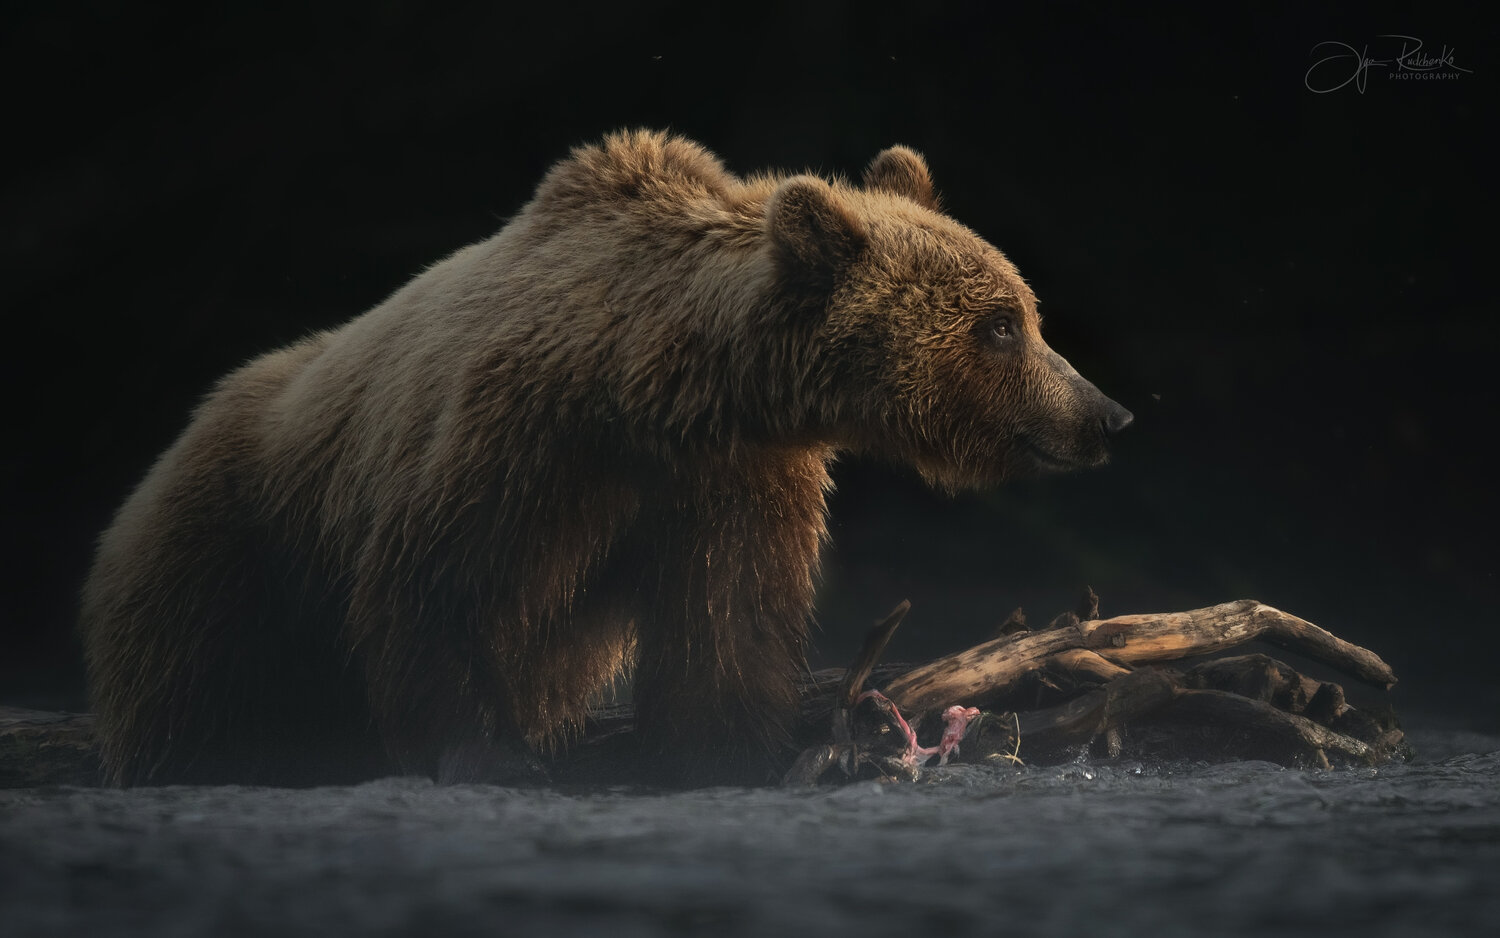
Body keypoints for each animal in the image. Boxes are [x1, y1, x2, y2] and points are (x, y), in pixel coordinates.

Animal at [81, 130, 1132, 787]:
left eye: (1025, 311)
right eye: (1001, 326)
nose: (1108, 414)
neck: (650, 390)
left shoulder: (727, 479)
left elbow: (724, 623)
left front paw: (728, 749)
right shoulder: (513, 444)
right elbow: (440, 589)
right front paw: (491, 750)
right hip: (231, 550)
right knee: (195, 692)